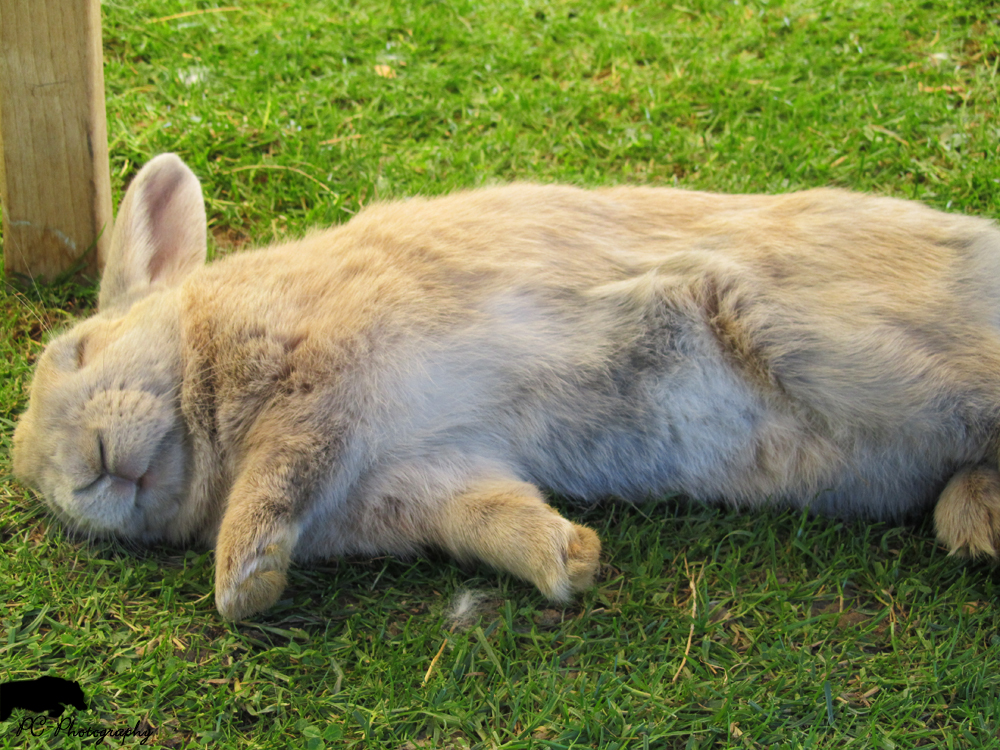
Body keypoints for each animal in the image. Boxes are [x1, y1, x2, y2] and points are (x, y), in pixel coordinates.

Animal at [11, 154, 1000, 624]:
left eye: (79, 350)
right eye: (45, 491)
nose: (87, 470)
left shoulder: (328, 379)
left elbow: (278, 472)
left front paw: (241, 582)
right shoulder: (422, 479)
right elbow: (492, 516)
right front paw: (573, 561)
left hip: (862, 355)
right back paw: (977, 526)